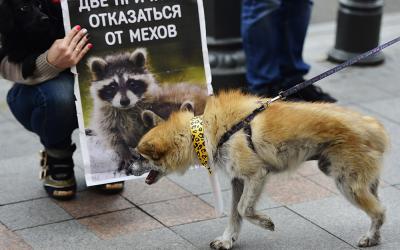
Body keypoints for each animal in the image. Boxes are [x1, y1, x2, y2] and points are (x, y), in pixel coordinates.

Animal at [136, 90, 390, 248]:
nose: (128, 166)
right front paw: (228, 240)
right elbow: (235, 214)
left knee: (379, 211)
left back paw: (370, 237)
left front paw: (265, 222)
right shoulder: (238, 181)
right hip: (356, 179)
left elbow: (243, 208)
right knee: (378, 206)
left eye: (140, 156)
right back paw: (375, 237)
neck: (205, 132)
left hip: (348, 183)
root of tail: (372, 126)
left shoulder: (255, 175)